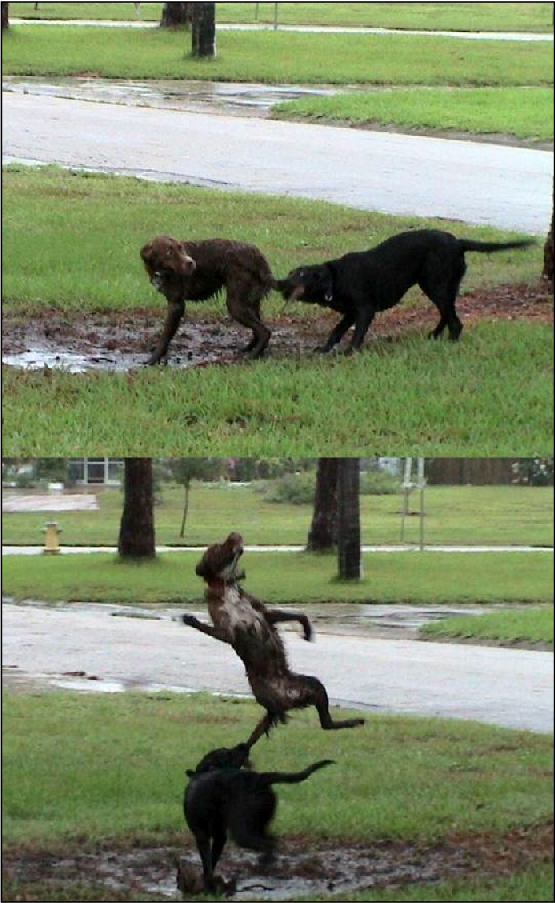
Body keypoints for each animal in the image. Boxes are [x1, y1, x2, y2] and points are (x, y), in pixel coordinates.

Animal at [140, 235, 272, 366]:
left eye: (180, 248)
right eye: (169, 252)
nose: (191, 262)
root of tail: (257, 254)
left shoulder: (176, 305)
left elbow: (165, 337)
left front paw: (152, 360)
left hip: (236, 305)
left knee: (264, 331)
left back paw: (253, 355)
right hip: (250, 301)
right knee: (258, 329)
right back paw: (249, 348)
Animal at [181, 532, 364, 744]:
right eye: (218, 547)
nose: (234, 534)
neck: (227, 587)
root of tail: (285, 698)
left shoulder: (263, 613)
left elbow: (297, 614)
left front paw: (307, 629)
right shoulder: (227, 632)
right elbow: (206, 627)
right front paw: (190, 619)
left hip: (314, 686)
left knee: (325, 722)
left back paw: (354, 722)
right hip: (274, 695)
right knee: (305, 721)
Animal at [185, 744, 336, 892]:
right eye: (227, 752)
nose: (243, 744)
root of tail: (259, 778)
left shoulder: (202, 835)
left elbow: (207, 862)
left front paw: (207, 884)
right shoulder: (218, 838)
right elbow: (212, 860)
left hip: (242, 832)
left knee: (268, 844)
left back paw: (265, 863)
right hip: (258, 824)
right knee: (272, 841)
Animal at [276, 230, 532, 354]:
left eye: (301, 275)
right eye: (291, 273)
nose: (279, 283)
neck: (335, 278)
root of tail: (458, 242)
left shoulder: (365, 309)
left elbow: (357, 333)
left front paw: (350, 351)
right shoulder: (350, 313)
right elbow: (336, 331)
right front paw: (325, 349)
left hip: (435, 284)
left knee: (455, 320)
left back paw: (449, 342)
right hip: (443, 285)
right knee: (447, 313)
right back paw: (434, 336)